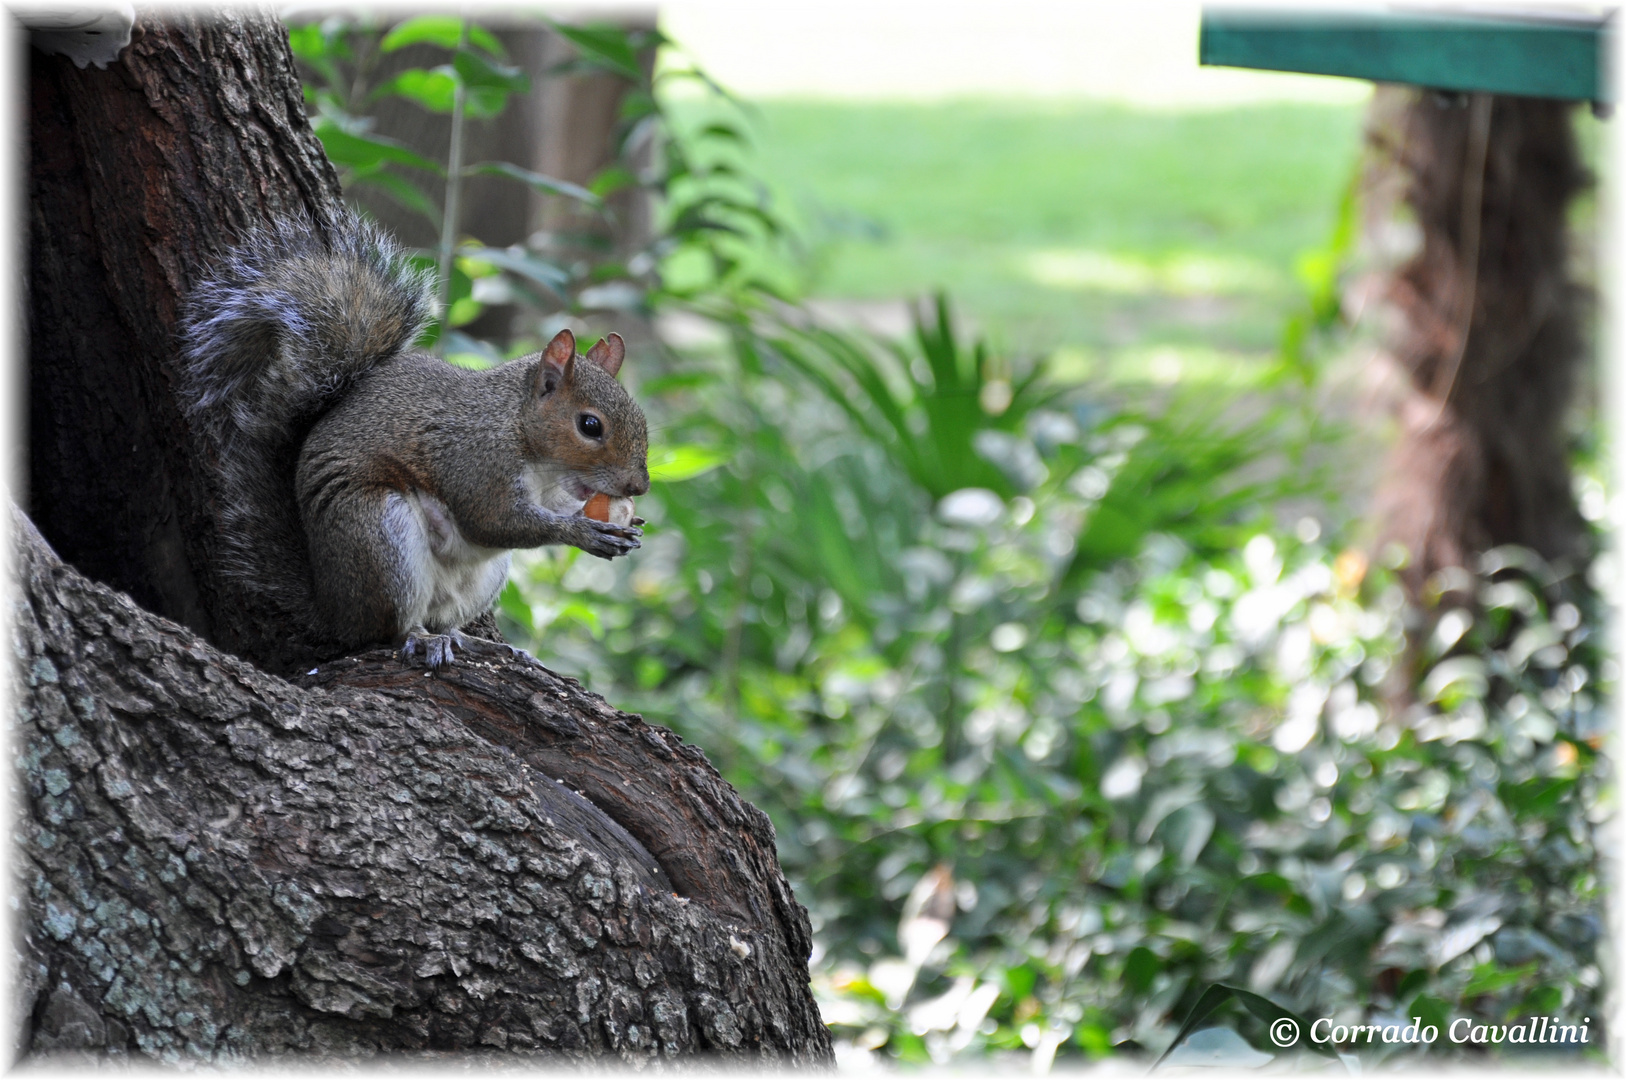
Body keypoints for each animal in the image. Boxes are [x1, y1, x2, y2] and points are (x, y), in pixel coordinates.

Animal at [178, 209, 647, 666]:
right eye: (590, 426)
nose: (638, 486)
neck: (521, 431)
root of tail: (335, 609)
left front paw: (628, 522)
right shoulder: (476, 459)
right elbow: (494, 520)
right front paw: (584, 532)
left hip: (477, 579)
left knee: (447, 620)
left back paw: (478, 643)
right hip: (379, 534)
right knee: (393, 628)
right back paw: (421, 639)